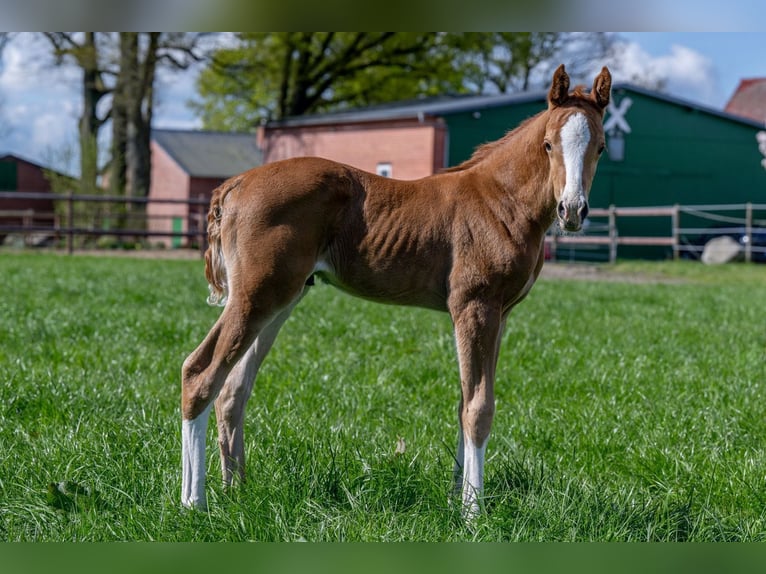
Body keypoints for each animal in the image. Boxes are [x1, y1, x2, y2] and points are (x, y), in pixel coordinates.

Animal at [182, 63, 612, 516]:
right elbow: (478, 408)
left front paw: (455, 497)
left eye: (600, 148)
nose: (572, 210)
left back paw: (237, 491)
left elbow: (464, 401)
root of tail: (233, 185)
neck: (501, 201)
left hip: (281, 299)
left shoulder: (500, 314)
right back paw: (193, 502)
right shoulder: (475, 307)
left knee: (233, 389)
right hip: (256, 296)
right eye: (548, 145)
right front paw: (472, 512)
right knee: (199, 372)